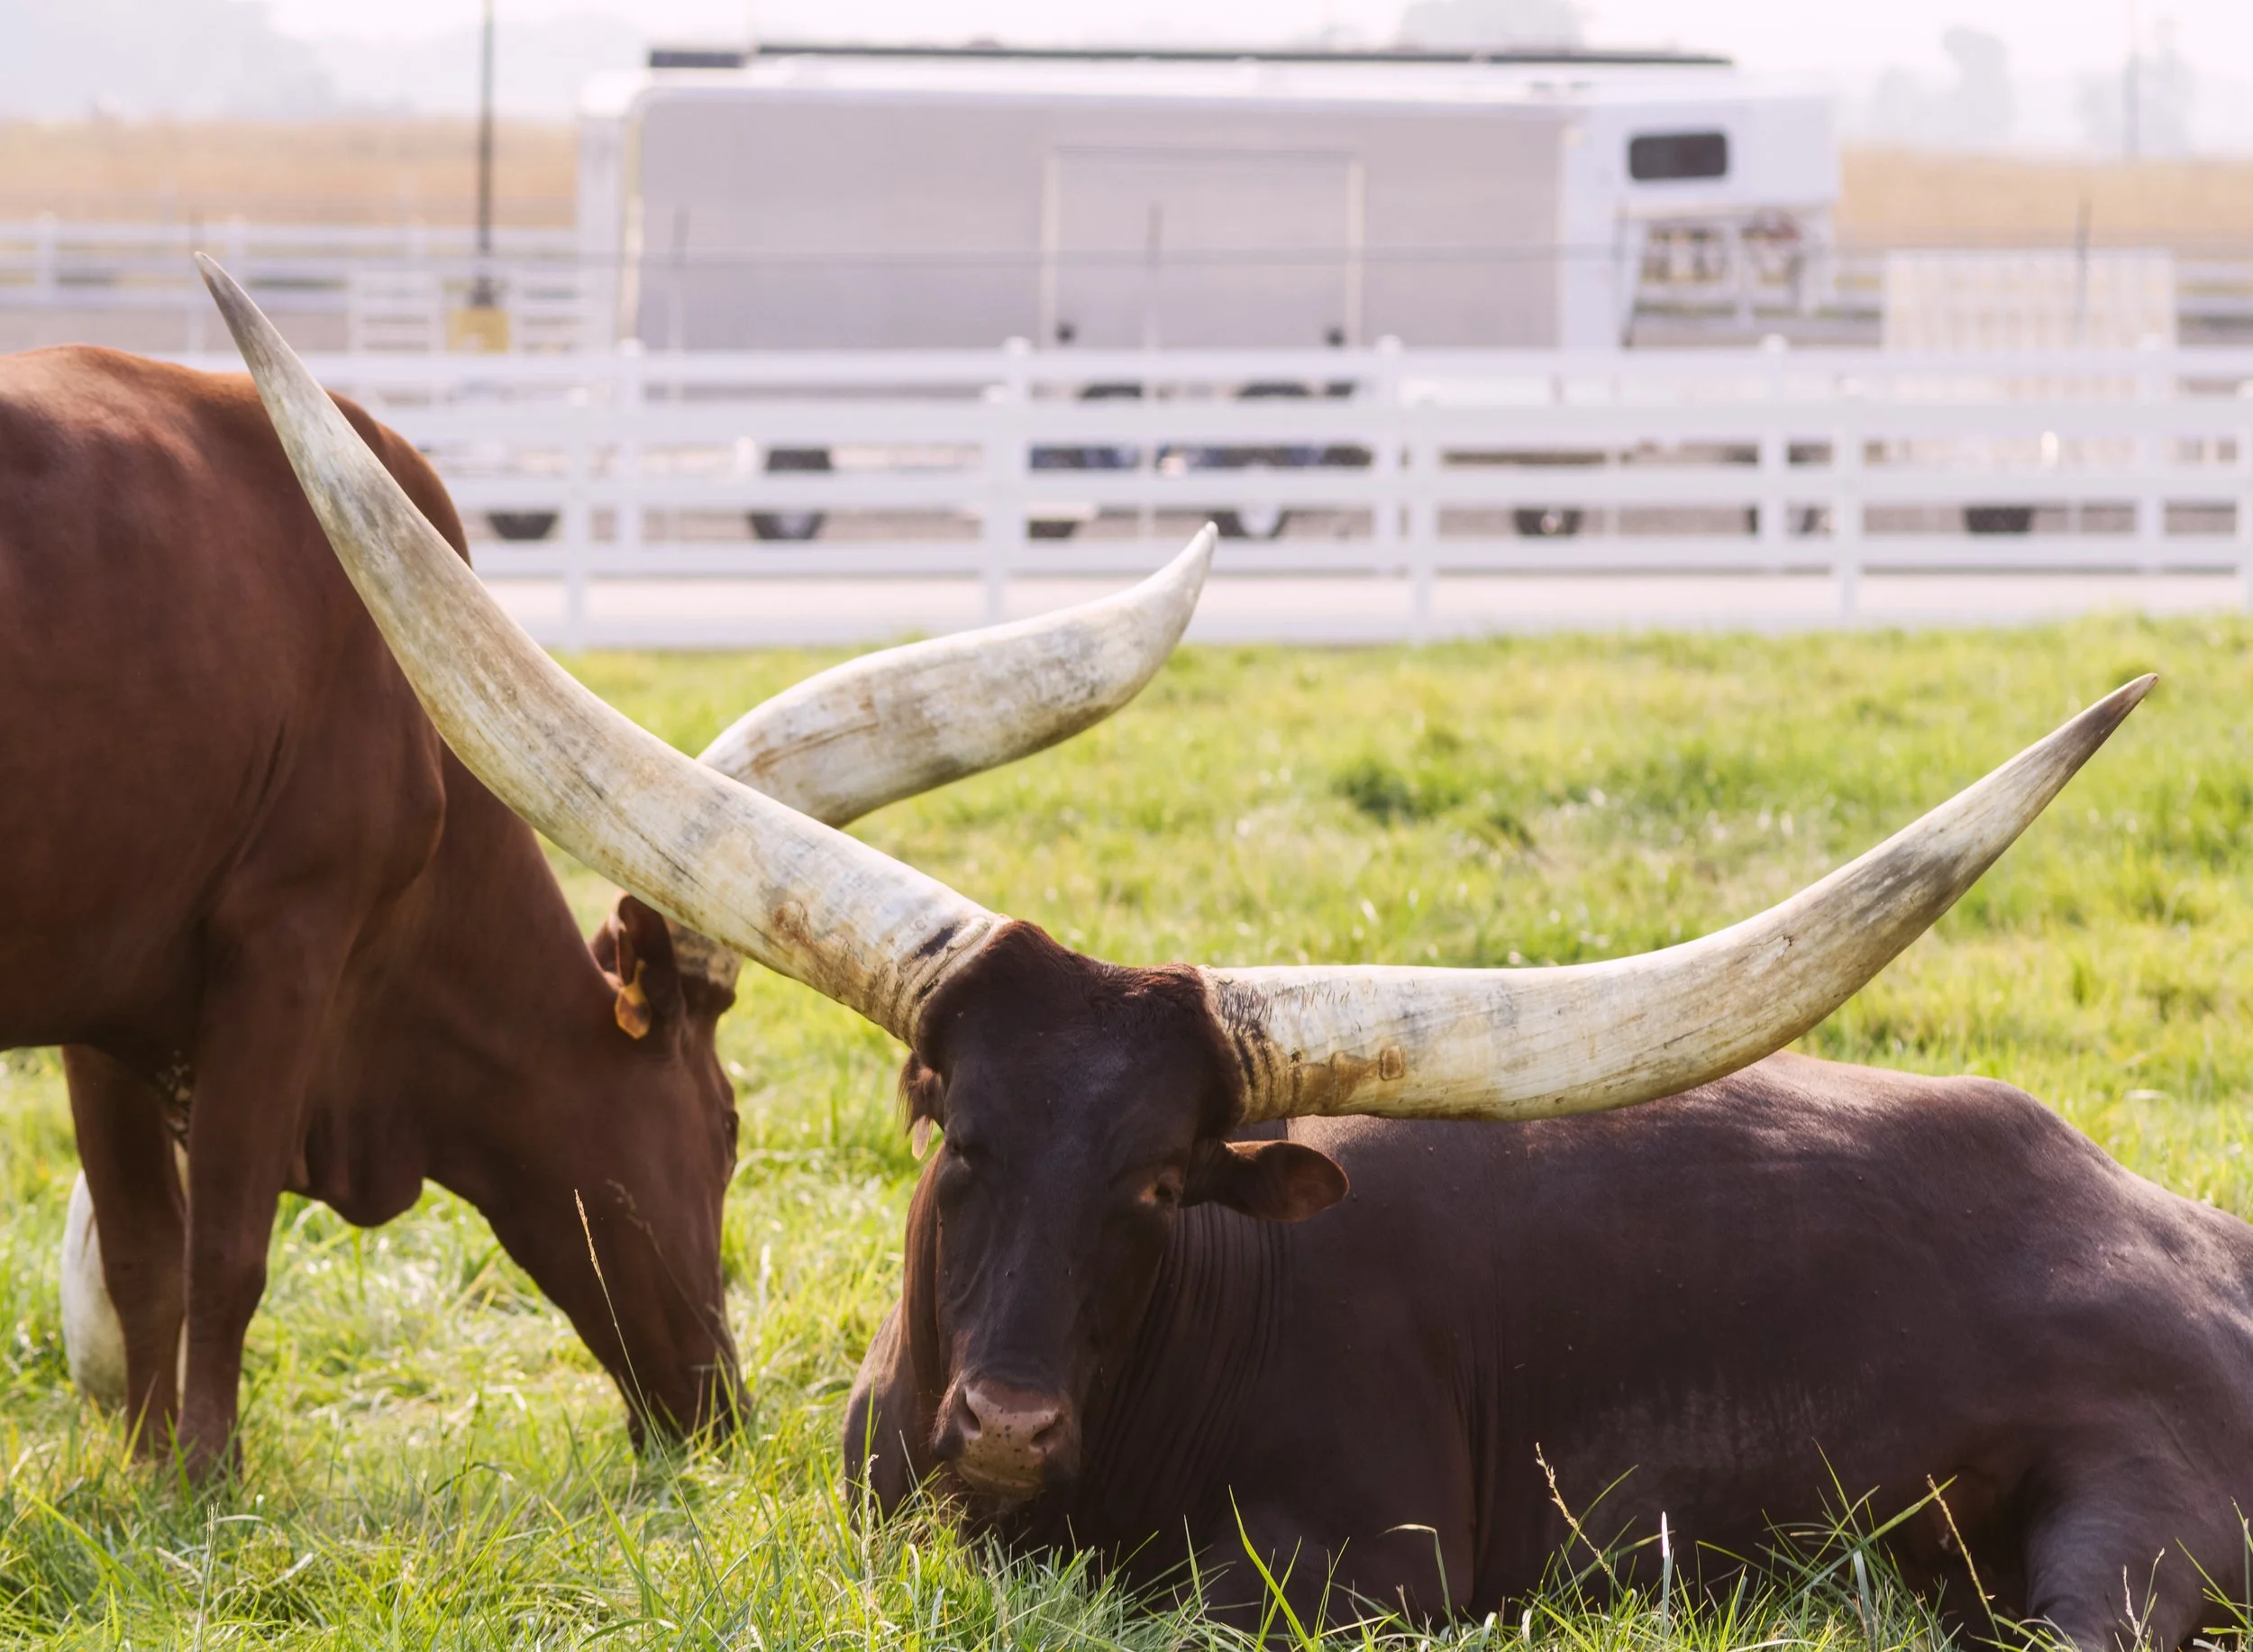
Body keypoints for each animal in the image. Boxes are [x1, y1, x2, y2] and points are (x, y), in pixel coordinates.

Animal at [0, 331, 1213, 1477]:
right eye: (726, 1128)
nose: (720, 1413)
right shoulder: (285, 946)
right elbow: (226, 1249)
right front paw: (207, 1475)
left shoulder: (114, 1008)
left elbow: (146, 1254)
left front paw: (149, 1463)